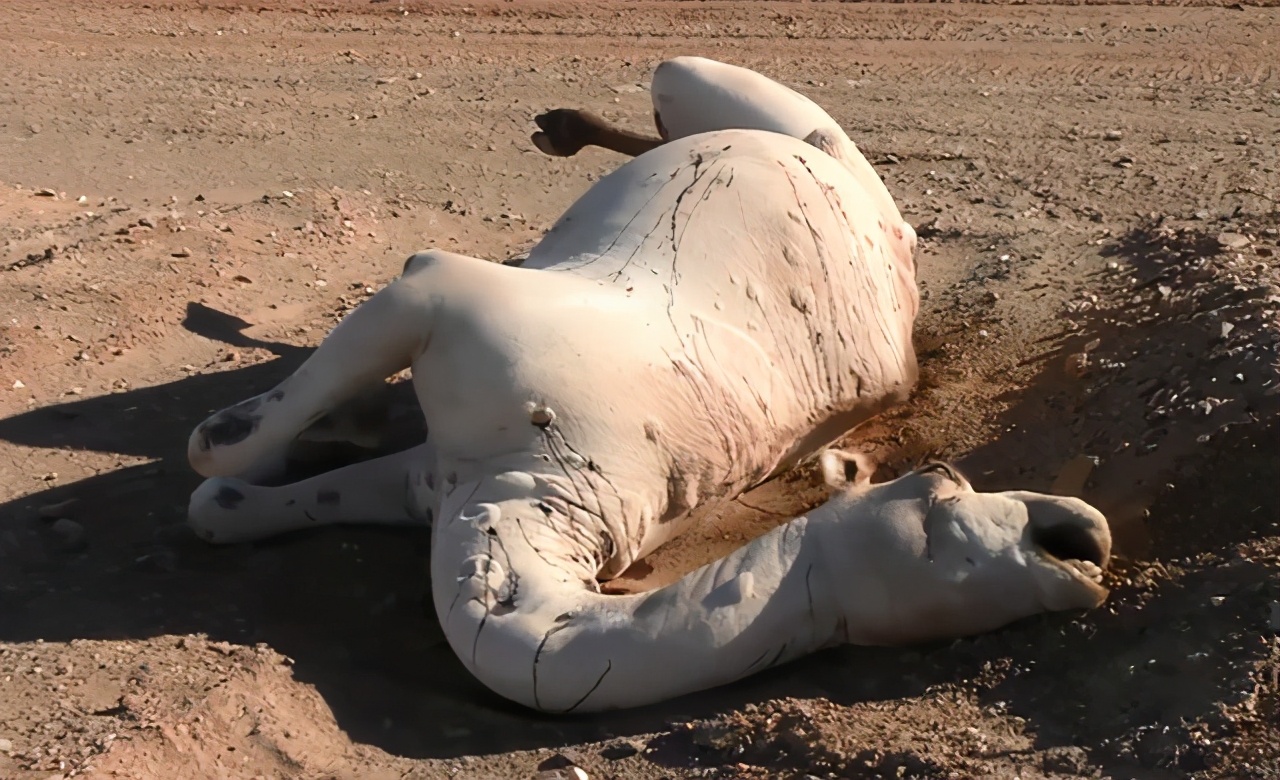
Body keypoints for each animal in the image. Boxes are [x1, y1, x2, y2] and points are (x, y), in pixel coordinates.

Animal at [183, 56, 1111, 712]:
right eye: (944, 487)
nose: (1084, 541)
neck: (545, 486)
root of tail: (888, 227)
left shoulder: (442, 391)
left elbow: (213, 467)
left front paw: (282, 448)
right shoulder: (437, 332)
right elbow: (231, 477)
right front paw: (299, 446)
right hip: (722, 98)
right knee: (675, 112)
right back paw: (564, 128)